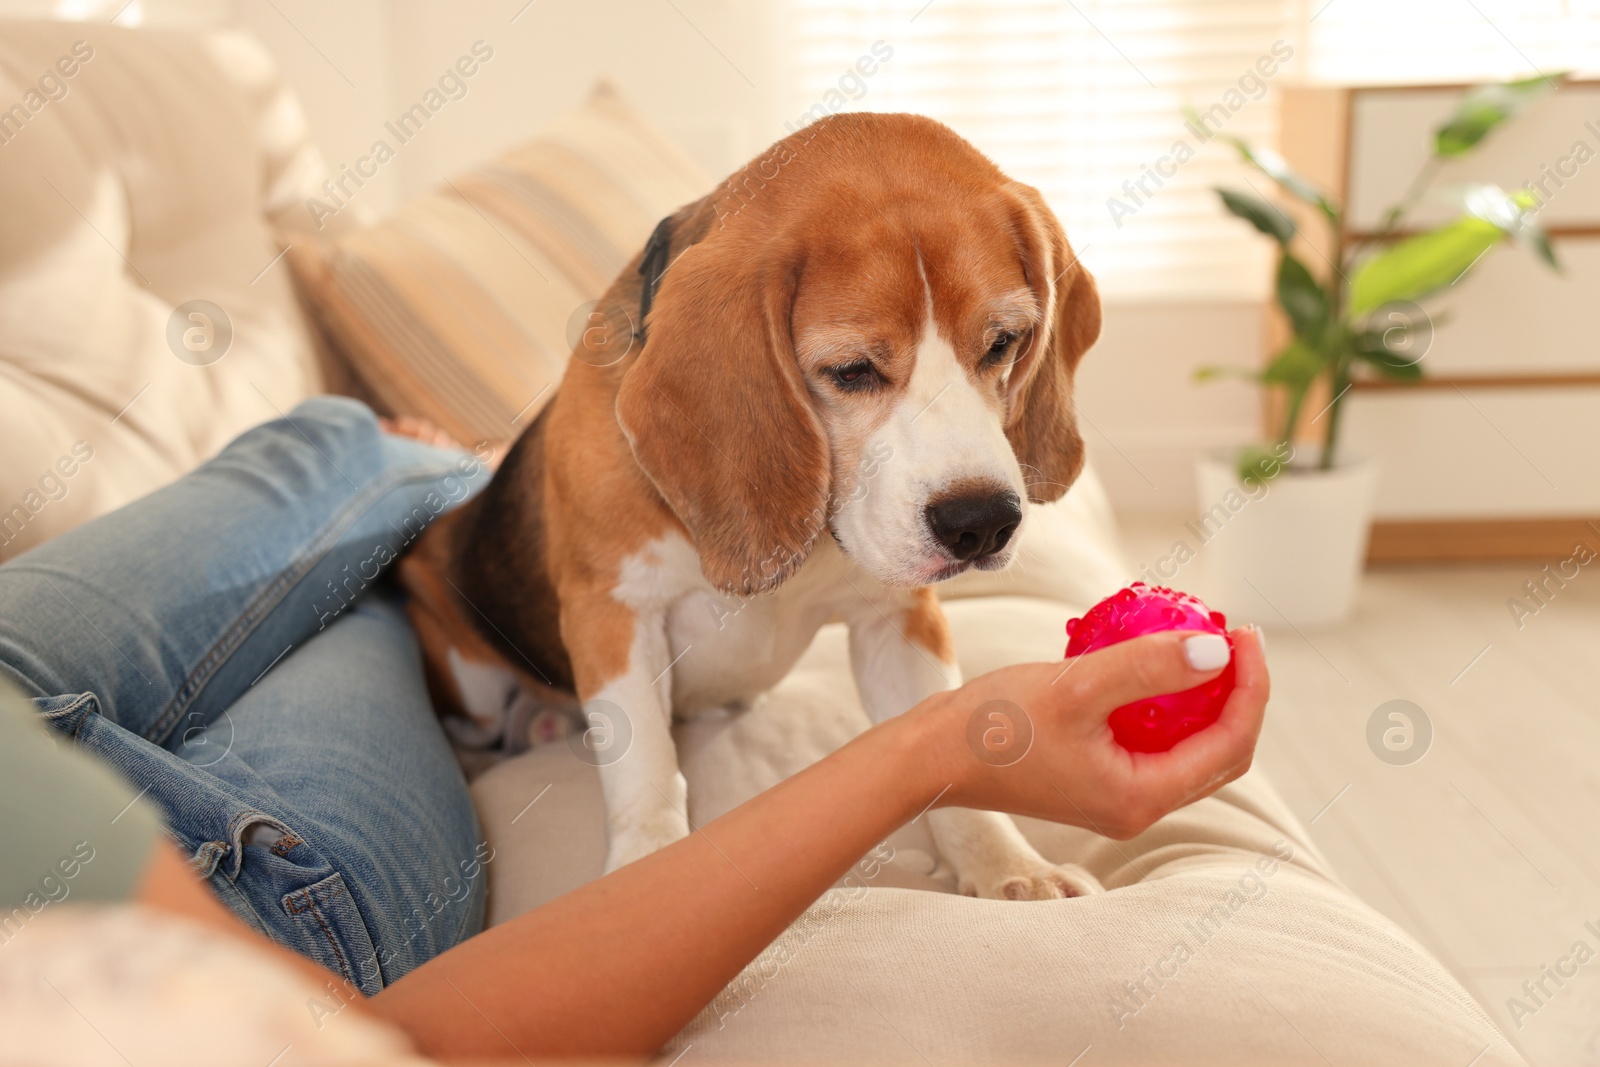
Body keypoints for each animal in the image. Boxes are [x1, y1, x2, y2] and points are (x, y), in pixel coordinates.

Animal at [403, 112, 1100, 902]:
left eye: (1004, 342)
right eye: (851, 370)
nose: (980, 522)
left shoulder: (899, 620)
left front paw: (1008, 867)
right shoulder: (611, 612)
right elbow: (645, 766)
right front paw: (646, 868)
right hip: (469, 667)